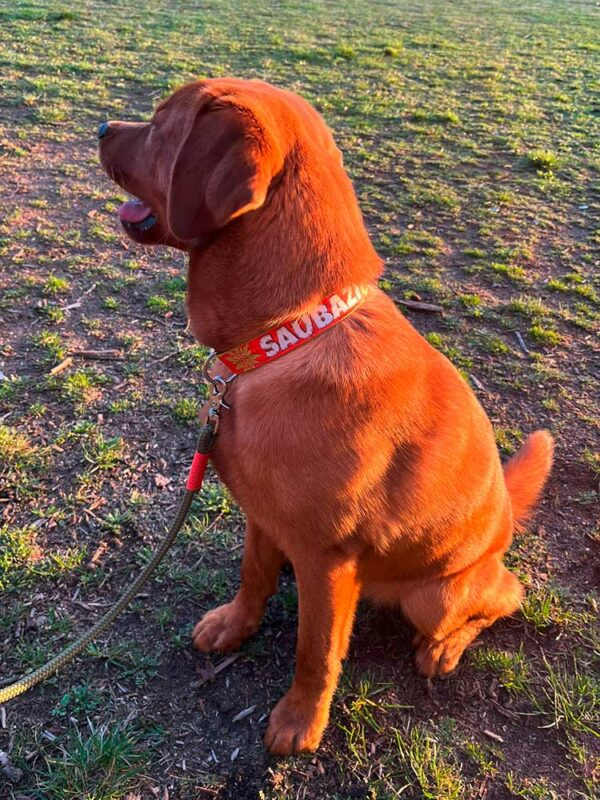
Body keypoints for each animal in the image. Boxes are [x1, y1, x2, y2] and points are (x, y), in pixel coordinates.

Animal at [97, 78, 552, 752]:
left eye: (160, 126)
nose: (102, 128)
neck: (287, 333)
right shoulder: (261, 514)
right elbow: (252, 577)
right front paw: (235, 626)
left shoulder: (327, 557)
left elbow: (315, 651)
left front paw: (299, 718)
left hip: (440, 596)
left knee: (504, 596)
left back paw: (444, 648)